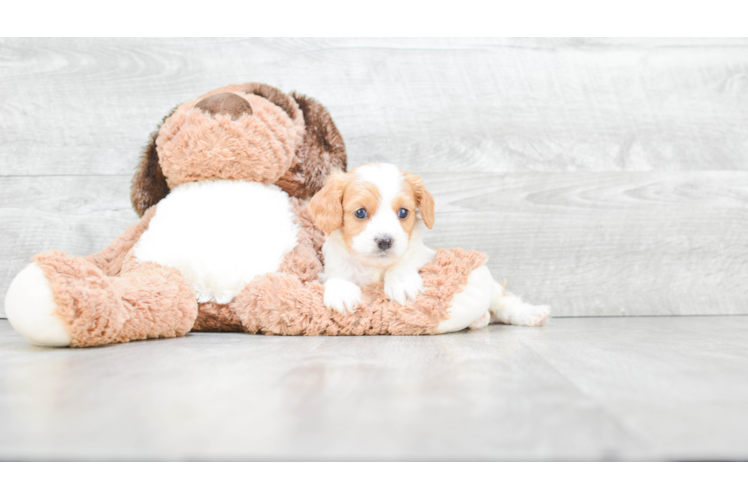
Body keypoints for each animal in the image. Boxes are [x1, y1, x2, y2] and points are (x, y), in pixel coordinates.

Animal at [308, 162, 548, 330]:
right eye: (360, 212)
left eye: (403, 212)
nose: (385, 241)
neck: (376, 266)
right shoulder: (332, 269)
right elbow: (337, 278)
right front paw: (341, 292)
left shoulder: (426, 256)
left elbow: (405, 261)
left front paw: (401, 282)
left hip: (496, 291)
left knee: (503, 302)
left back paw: (531, 314)